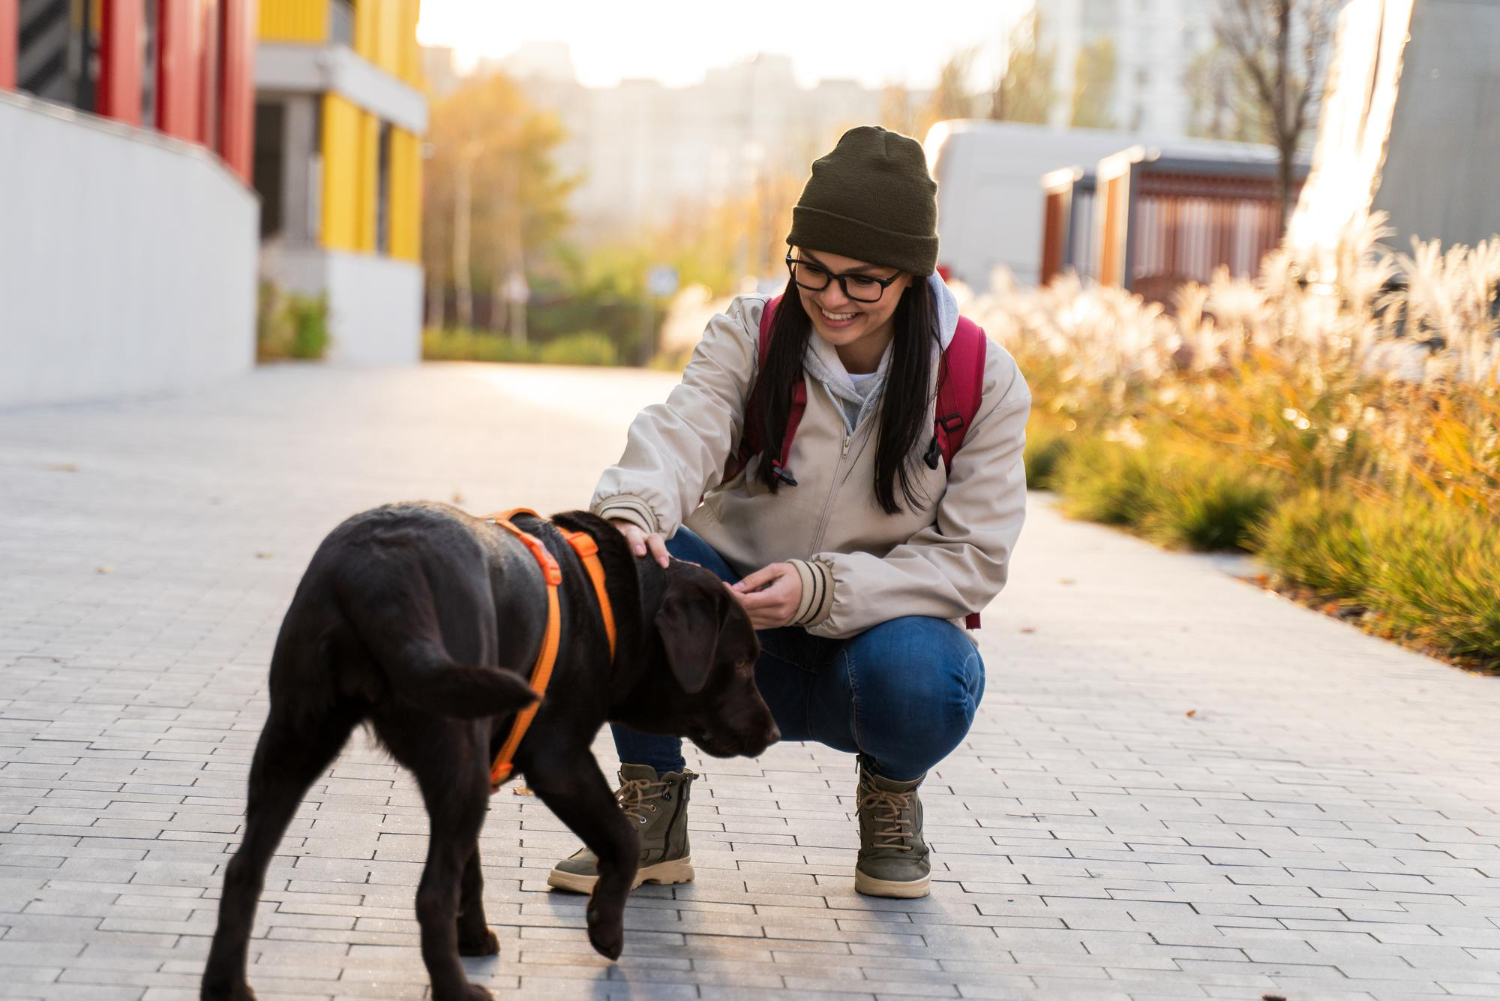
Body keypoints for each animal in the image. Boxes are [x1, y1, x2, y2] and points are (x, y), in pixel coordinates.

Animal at [201, 504, 780, 1001]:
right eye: (743, 663)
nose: (774, 732)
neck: (612, 606)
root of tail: (380, 572)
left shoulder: (479, 765)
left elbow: (472, 868)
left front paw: (475, 940)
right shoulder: (558, 761)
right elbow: (621, 839)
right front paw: (605, 929)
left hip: (295, 742)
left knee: (243, 868)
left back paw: (226, 987)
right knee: (430, 894)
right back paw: (457, 991)